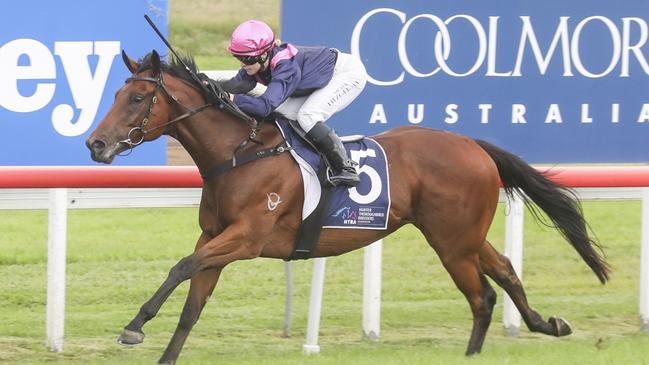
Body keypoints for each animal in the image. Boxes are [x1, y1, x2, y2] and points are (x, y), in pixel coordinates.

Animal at [85, 49, 608, 362]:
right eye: (116, 93)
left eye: (137, 97)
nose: (96, 144)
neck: (238, 153)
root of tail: (472, 145)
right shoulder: (215, 237)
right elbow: (193, 303)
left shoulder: (246, 238)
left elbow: (180, 266)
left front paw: (133, 326)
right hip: (460, 235)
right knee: (503, 274)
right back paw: (545, 324)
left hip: (453, 242)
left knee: (482, 294)